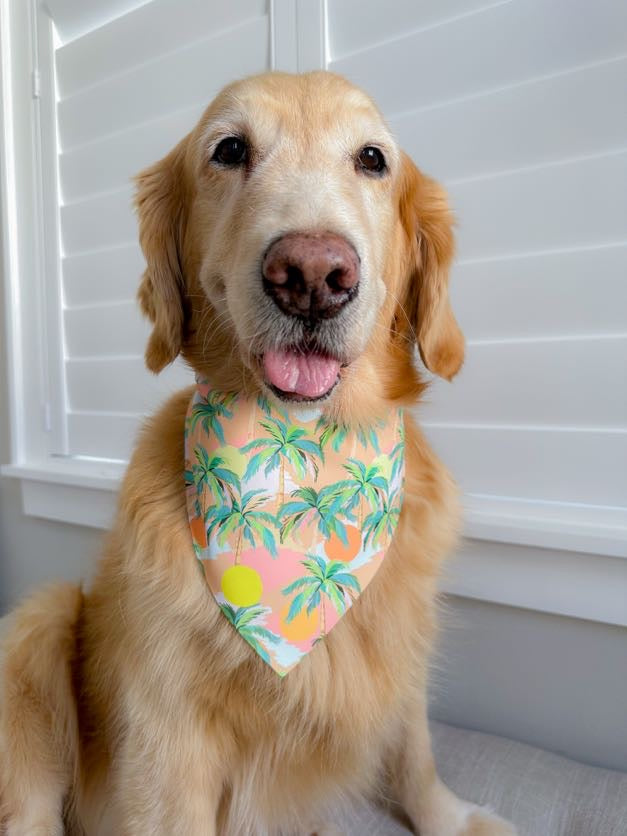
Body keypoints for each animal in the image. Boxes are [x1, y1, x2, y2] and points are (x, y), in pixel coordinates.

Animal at [0, 73, 516, 836]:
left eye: (372, 159)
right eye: (229, 150)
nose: (312, 274)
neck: (300, 453)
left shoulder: (402, 645)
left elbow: (413, 744)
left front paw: (449, 816)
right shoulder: (165, 733)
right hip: (43, 622)